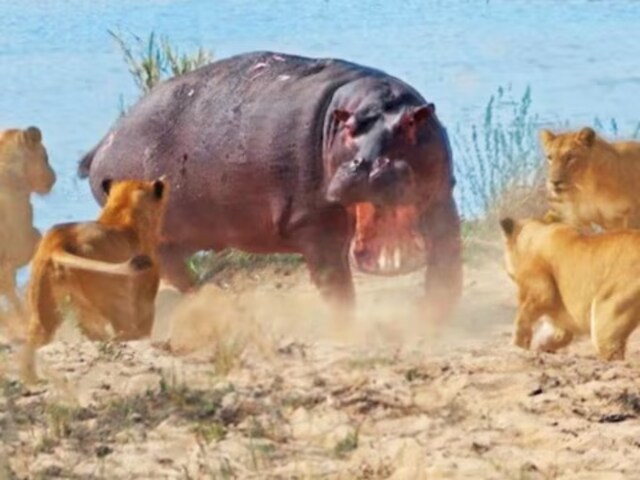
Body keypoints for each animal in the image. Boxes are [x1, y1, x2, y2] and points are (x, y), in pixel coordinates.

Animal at [79, 51, 462, 319]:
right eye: (350, 128)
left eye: (412, 124)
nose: (366, 165)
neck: (375, 101)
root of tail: (104, 142)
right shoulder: (314, 223)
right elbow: (334, 282)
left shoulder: (442, 200)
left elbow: (446, 261)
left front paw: (435, 317)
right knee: (168, 269)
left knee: (176, 268)